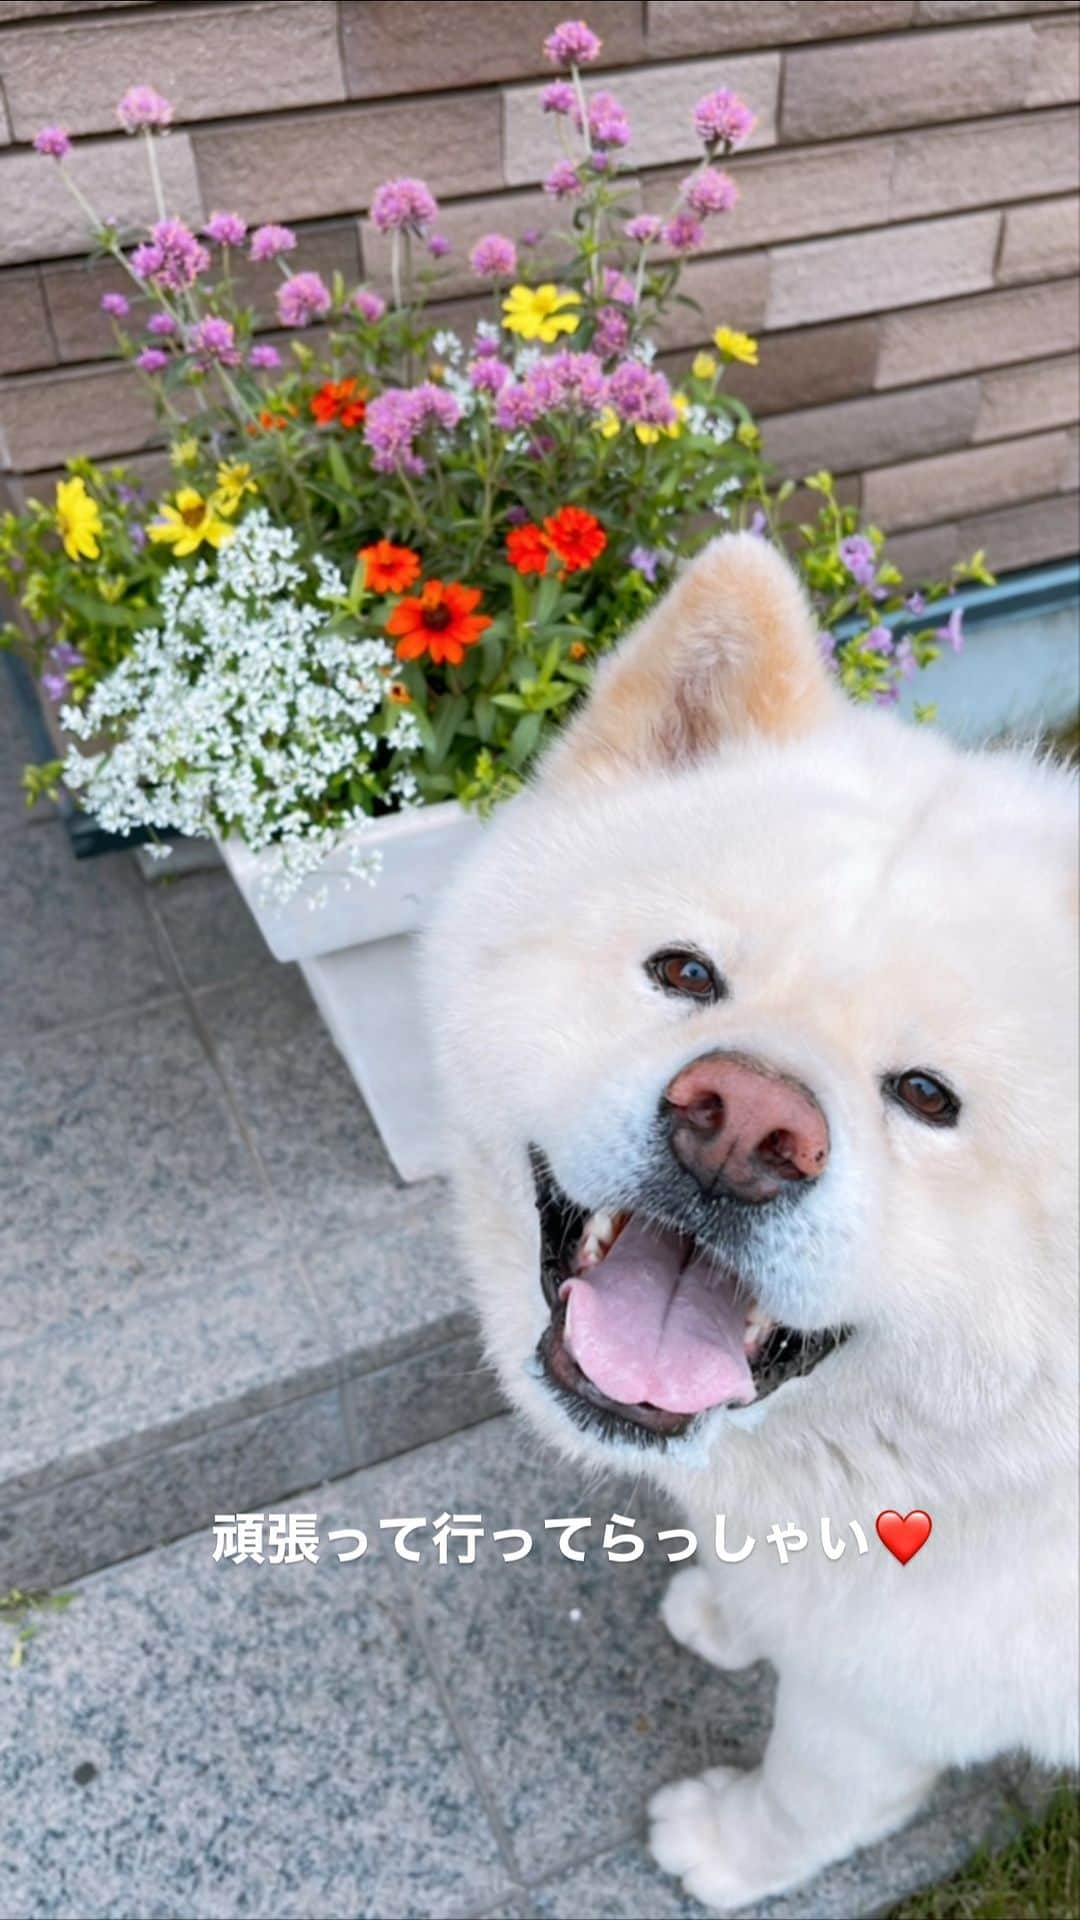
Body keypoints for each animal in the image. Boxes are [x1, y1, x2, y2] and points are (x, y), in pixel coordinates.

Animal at [422, 533, 1076, 1912]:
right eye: (685, 974)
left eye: (925, 1098)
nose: (744, 1127)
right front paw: (728, 1614)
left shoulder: (894, 1695)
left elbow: (812, 1795)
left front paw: (723, 1854)